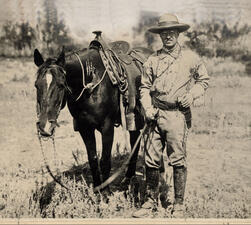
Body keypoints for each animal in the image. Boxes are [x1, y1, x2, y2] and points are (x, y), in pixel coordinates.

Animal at [33, 43, 151, 195]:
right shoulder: (85, 128)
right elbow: (93, 159)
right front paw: (97, 189)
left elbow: (105, 160)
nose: (44, 126)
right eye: (36, 85)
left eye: (61, 85)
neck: (91, 85)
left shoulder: (107, 127)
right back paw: (128, 178)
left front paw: (106, 192)